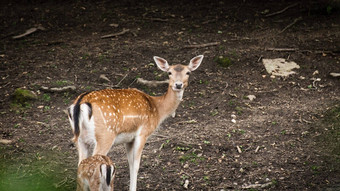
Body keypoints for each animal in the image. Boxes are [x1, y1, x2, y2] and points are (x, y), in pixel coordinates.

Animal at [67, 54, 203, 190]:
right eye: (169, 72)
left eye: (188, 72)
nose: (178, 85)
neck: (157, 109)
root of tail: (79, 103)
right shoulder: (142, 133)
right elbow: (136, 165)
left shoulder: (129, 139)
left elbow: (130, 164)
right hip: (105, 135)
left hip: (79, 138)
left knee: (81, 165)